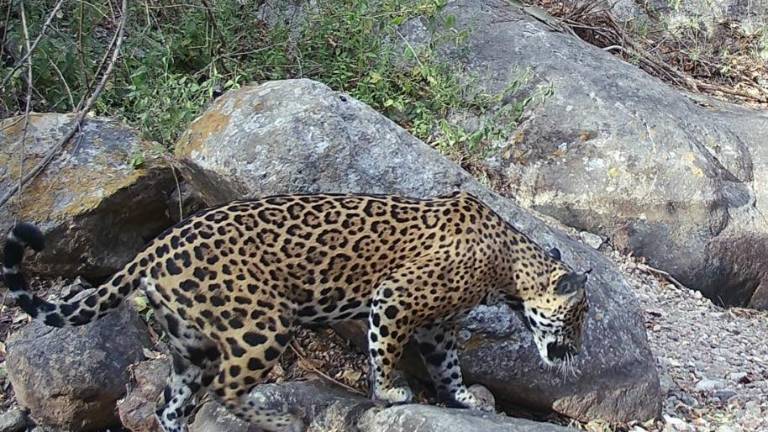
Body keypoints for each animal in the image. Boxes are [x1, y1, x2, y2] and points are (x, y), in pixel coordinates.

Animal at [2, 191, 590, 432]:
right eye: (579, 321)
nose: (576, 354)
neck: (509, 267)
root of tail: (155, 246)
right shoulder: (395, 297)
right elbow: (385, 352)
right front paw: (389, 393)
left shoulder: (438, 328)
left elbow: (447, 367)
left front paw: (464, 399)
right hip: (261, 325)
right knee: (227, 388)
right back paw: (280, 419)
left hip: (189, 344)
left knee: (172, 406)